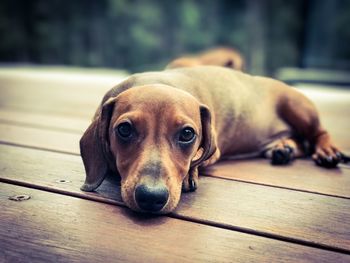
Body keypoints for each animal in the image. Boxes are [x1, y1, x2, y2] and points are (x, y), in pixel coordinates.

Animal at [80, 65, 348, 214]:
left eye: (187, 134)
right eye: (124, 129)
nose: (151, 197)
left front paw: (190, 173)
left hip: (298, 106)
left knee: (318, 134)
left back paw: (327, 151)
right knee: (300, 143)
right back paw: (283, 148)